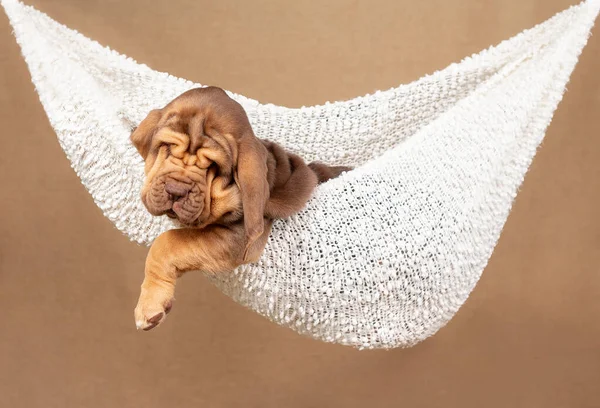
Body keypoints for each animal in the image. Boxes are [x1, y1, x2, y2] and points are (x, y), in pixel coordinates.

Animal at [129, 87, 350, 332]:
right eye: (167, 147)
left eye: (213, 166)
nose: (176, 191)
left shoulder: (236, 237)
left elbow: (168, 242)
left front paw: (150, 305)